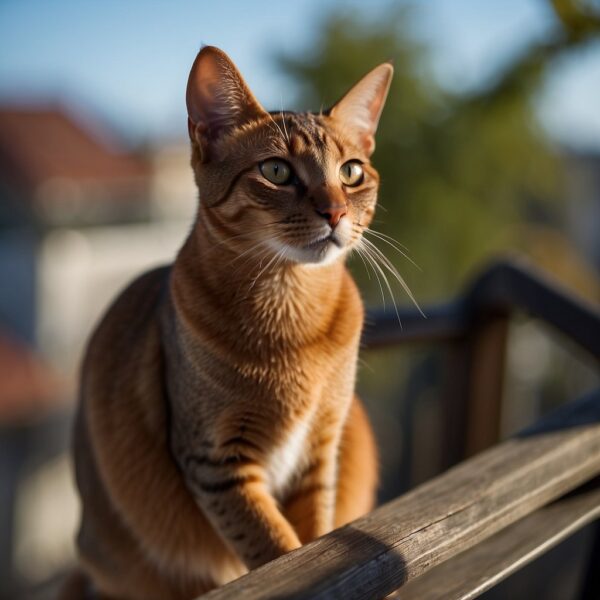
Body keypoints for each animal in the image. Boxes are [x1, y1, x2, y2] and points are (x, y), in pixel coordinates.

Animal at [63, 44, 394, 596]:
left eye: (351, 172)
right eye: (277, 171)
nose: (335, 212)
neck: (292, 317)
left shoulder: (320, 450)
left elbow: (317, 535)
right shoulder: (217, 460)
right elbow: (277, 548)